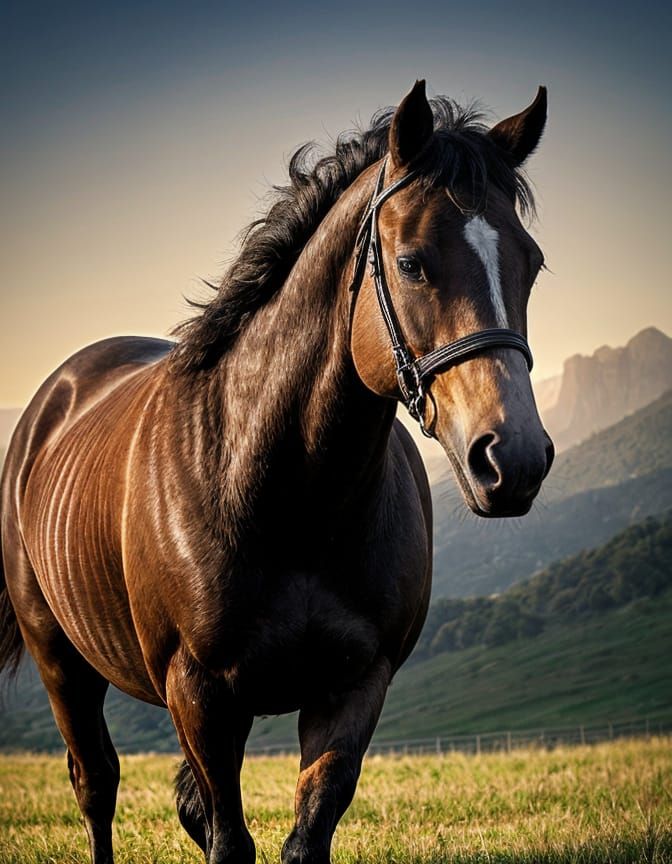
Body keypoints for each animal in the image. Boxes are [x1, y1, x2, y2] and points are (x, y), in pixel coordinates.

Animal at [0, 80, 553, 863]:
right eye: (411, 262)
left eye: (529, 262)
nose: (514, 459)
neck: (283, 497)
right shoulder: (200, 696)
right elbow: (227, 838)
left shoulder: (353, 687)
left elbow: (305, 830)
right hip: (61, 663)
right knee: (96, 785)